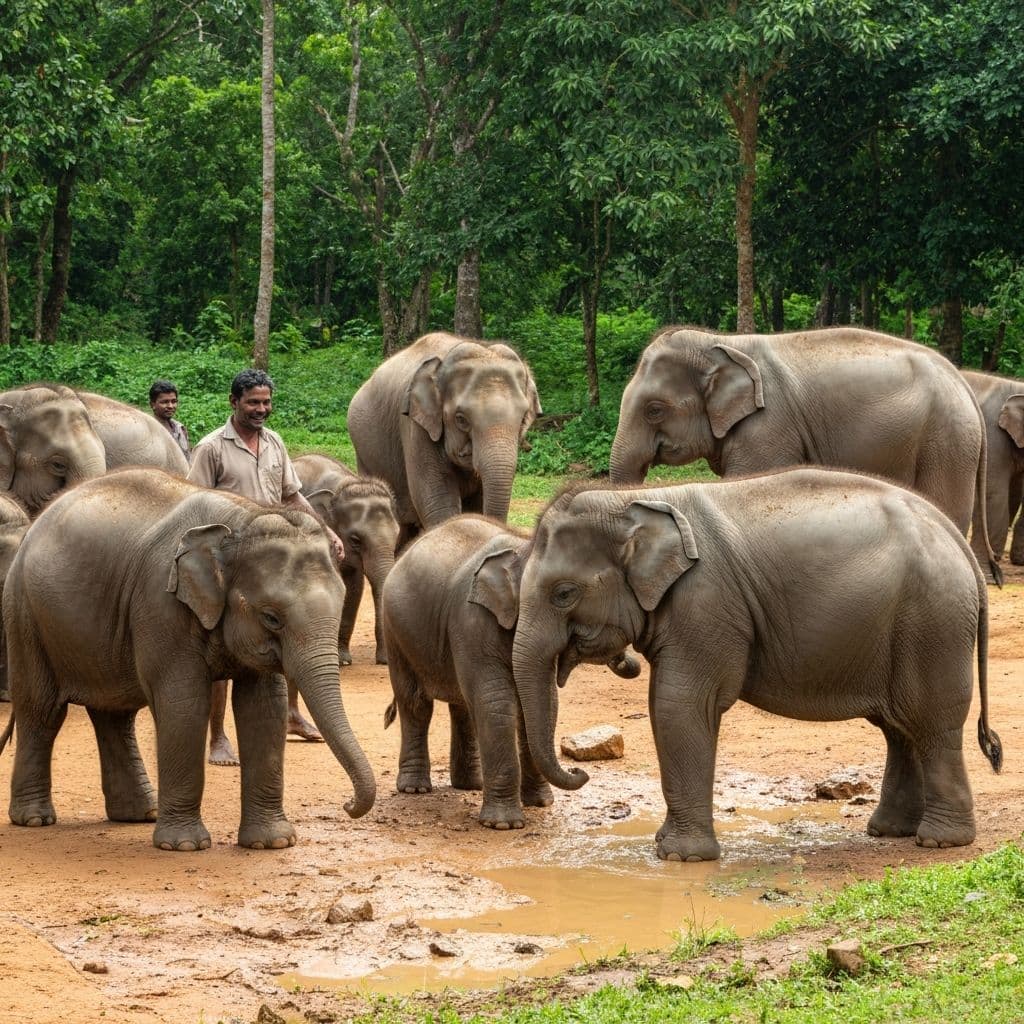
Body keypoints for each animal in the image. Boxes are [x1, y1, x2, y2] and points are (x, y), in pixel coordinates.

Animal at [0, 467, 375, 851]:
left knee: (114, 715)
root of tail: (36, 521)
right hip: (25, 614)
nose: (348, 805)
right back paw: (34, 819)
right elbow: (185, 703)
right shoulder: (161, 604)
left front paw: (273, 843)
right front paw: (184, 846)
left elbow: (264, 706)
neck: (239, 522)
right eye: (271, 617)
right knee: (42, 710)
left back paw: (139, 814)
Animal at [293, 453, 400, 665]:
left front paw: (343, 659)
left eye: (397, 535)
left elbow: (354, 587)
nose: (384, 662)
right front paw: (340, 661)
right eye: (355, 540)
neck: (344, 483)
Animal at [380, 514, 641, 829]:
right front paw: (503, 825)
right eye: (564, 595)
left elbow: (541, 703)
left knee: (463, 705)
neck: (525, 549)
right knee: (415, 702)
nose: (580, 773)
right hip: (394, 630)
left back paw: (472, 785)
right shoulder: (472, 620)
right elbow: (496, 702)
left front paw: (541, 803)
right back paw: (414, 788)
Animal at [511, 470, 1002, 862]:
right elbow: (672, 706)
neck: (634, 499)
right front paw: (666, 847)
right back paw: (889, 832)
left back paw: (939, 842)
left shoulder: (704, 603)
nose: (581, 773)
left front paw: (679, 857)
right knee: (898, 727)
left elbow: (679, 705)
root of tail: (956, 538)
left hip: (932, 623)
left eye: (564, 593)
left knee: (931, 723)